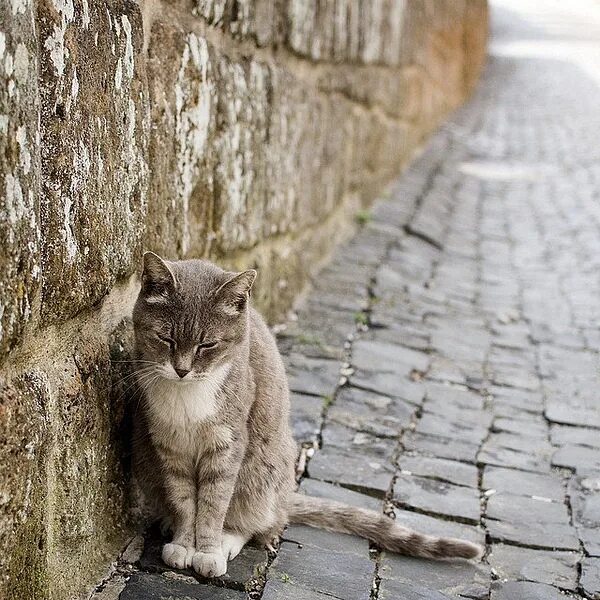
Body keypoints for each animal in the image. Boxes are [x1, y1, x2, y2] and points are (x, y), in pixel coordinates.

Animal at [131, 252, 482, 576]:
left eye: (207, 345)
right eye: (165, 339)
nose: (182, 370)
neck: (186, 396)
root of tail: (288, 494)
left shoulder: (228, 444)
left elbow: (214, 503)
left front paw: (207, 551)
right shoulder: (169, 445)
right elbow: (184, 501)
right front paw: (183, 543)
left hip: (263, 469)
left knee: (262, 520)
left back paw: (228, 540)